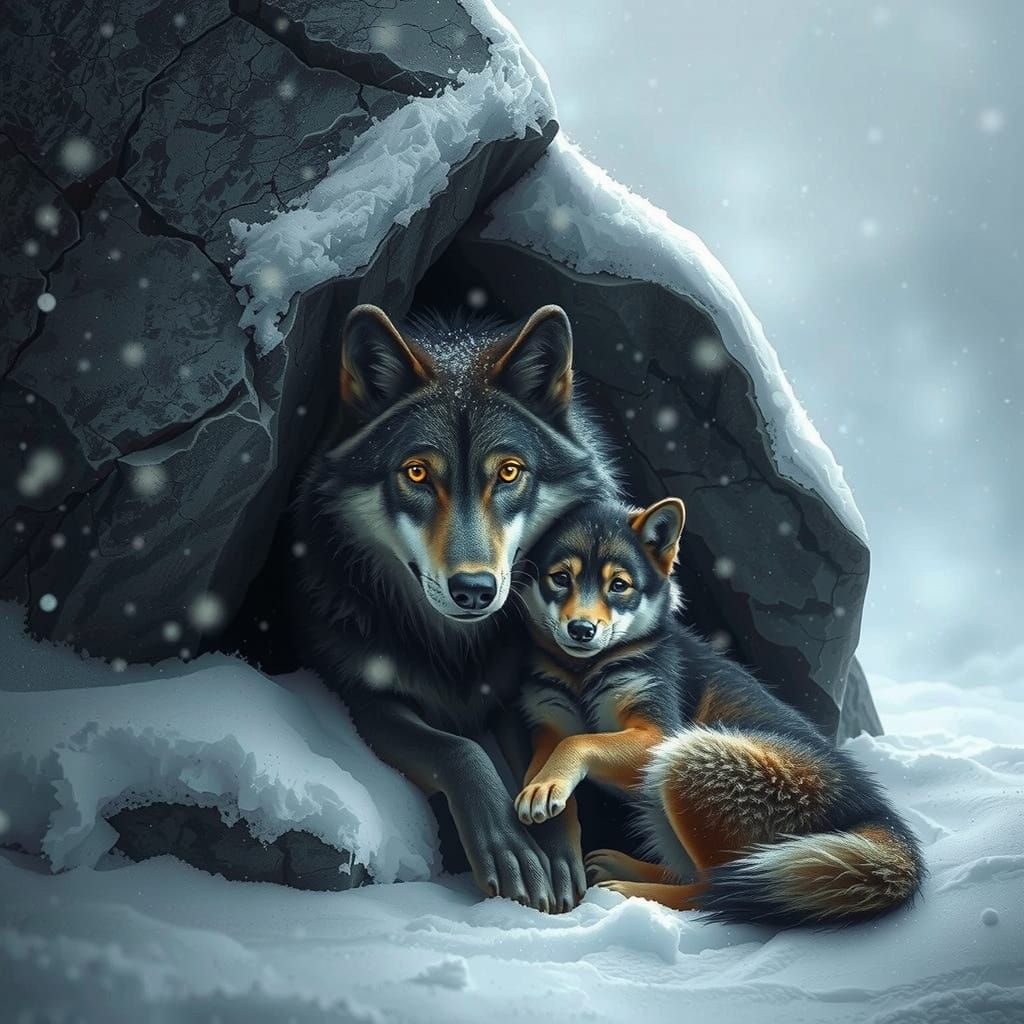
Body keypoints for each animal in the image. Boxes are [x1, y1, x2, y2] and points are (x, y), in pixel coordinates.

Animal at [287, 303, 616, 911]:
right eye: (417, 472)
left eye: (508, 472)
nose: (475, 590)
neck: (457, 651)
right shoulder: (366, 696)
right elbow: (458, 748)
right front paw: (511, 850)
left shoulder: (516, 693)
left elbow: (544, 754)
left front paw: (556, 845)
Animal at [514, 498, 924, 926]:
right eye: (561, 578)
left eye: (619, 586)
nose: (582, 630)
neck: (584, 674)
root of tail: (875, 815)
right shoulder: (546, 723)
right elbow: (547, 756)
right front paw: (543, 790)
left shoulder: (658, 731)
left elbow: (580, 741)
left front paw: (548, 786)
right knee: (700, 876)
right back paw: (621, 867)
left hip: (688, 756)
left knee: (711, 888)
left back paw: (629, 891)